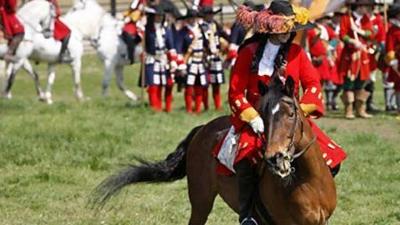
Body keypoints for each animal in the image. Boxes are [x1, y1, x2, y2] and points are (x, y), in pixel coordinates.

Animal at [90, 76, 338, 225]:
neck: (308, 180)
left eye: (291, 114)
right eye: (263, 116)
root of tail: (202, 129)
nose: (275, 158)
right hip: (201, 201)